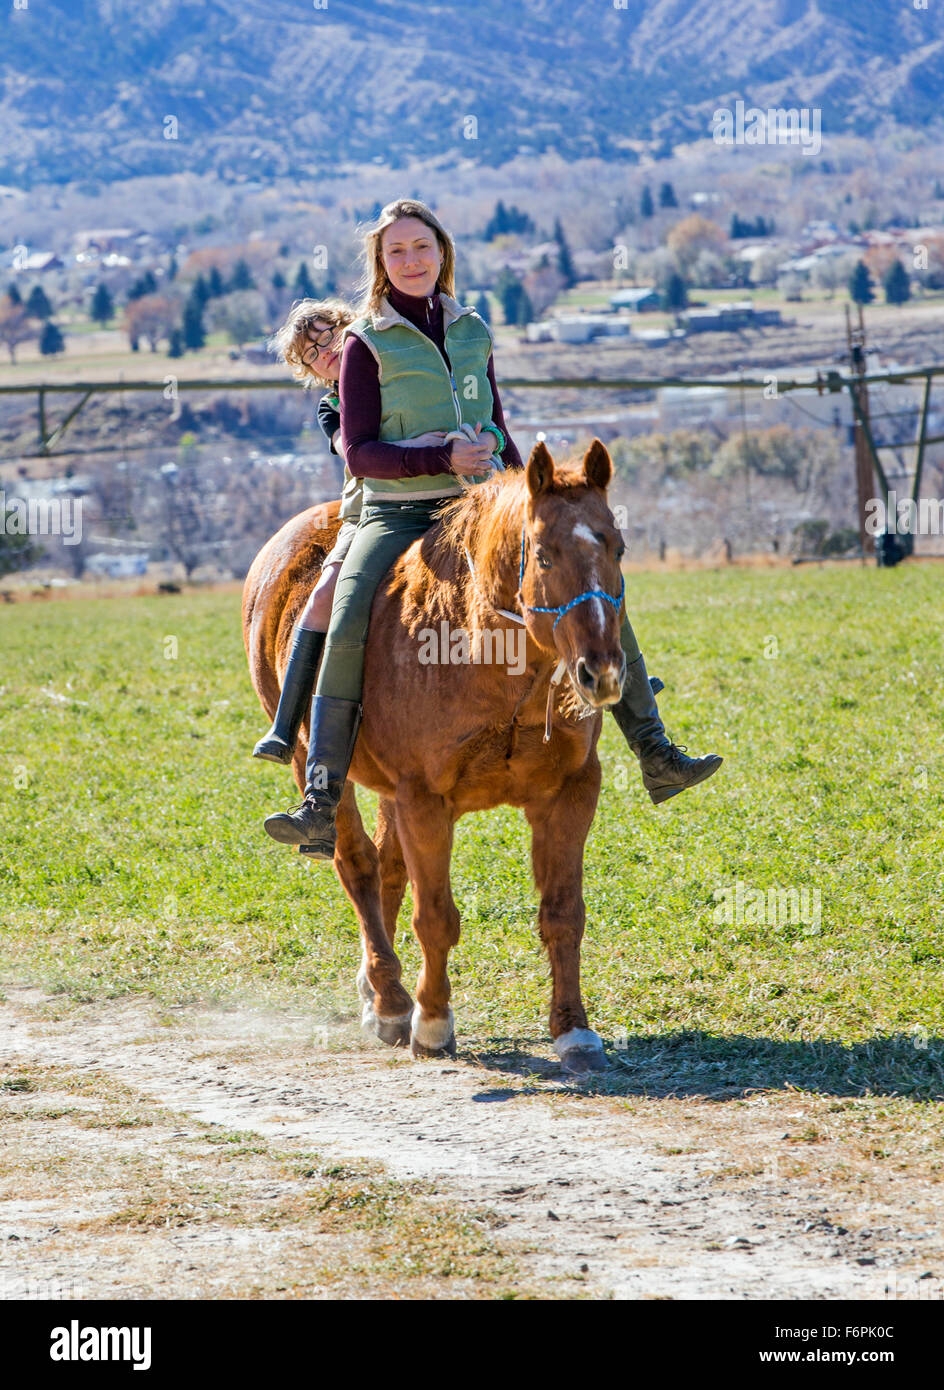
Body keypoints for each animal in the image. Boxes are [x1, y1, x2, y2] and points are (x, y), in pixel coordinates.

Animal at [243, 442, 628, 1073]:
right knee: (358, 867)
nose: (602, 673)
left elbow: (563, 914)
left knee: (387, 873)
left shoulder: (569, 792)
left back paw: (375, 991)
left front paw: (573, 1031)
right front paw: (432, 1023)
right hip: (315, 763)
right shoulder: (425, 800)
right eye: (544, 556)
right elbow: (436, 918)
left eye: (617, 548)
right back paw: (392, 1002)